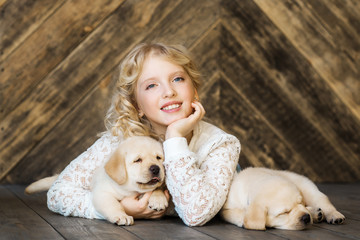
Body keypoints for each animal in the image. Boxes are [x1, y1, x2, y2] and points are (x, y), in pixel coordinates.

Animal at [25, 136, 169, 226]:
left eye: (158, 158)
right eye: (138, 160)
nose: (156, 168)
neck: (131, 190)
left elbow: (158, 187)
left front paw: (158, 199)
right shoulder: (102, 193)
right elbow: (113, 204)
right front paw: (121, 215)